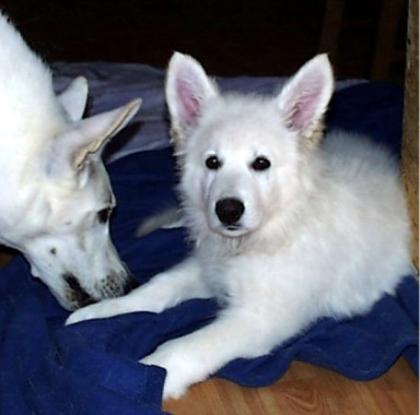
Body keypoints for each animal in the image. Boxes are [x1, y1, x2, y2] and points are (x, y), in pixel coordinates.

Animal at [68, 52, 410, 400]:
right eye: (212, 162)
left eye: (261, 163)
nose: (228, 211)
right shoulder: (206, 268)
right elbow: (155, 289)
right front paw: (96, 314)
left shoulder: (259, 317)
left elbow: (183, 348)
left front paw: (144, 377)